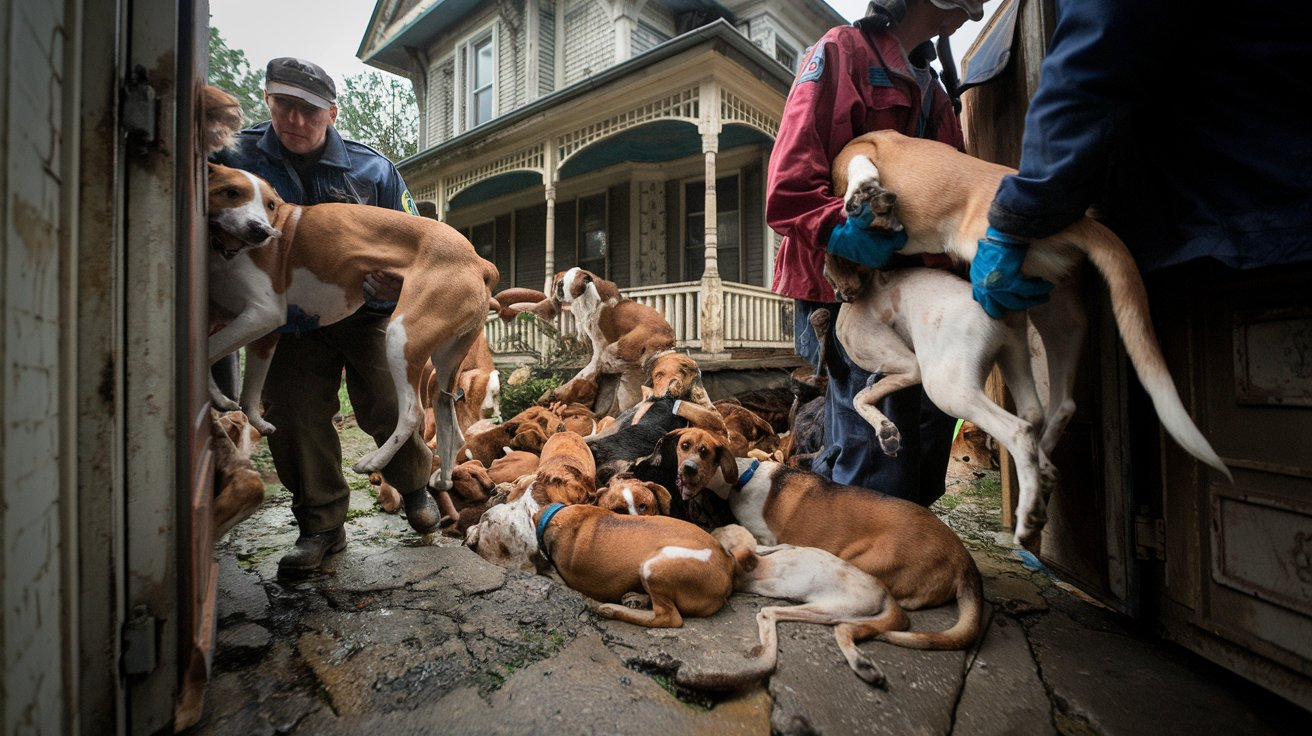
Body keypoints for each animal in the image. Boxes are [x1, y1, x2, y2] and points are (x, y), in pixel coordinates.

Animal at [671, 425, 981, 648]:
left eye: (705, 452)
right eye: (684, 446)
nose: (687, 470)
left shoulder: (764, 539)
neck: (742, 478)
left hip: (867, 562)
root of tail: (965, 560)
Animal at [713, 519, 907, 687]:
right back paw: (864, 665)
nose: (713, 529)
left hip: (843, 610)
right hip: (835, 609)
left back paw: (864, 665)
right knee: (772, 613)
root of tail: (885, 594)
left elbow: (776, 546)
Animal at [829, 127, 1228, 540]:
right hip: (1057, 321)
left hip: (951, 383)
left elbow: (857, 178)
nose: (842, 295)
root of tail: (1076, 221)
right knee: (1053, 407)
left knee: (1020, 427)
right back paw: (1043, 471)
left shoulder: (854, 155)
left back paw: (1030, 510)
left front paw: (864, 201)